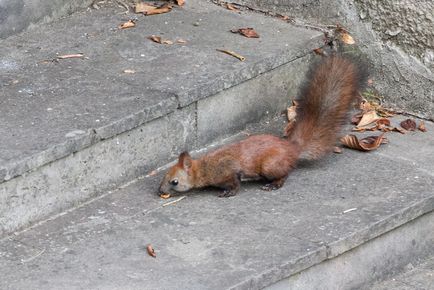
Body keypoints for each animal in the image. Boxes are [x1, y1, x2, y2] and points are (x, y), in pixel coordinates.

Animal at [158, 54, 368, 197]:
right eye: (164, 176)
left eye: (174, 181)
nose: (160, 191)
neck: (205, 167)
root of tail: (292, 149)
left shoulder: (228, 171)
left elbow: (235, 183)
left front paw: (228, 193)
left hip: (270, 165)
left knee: (285, 174)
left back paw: (274, 184)